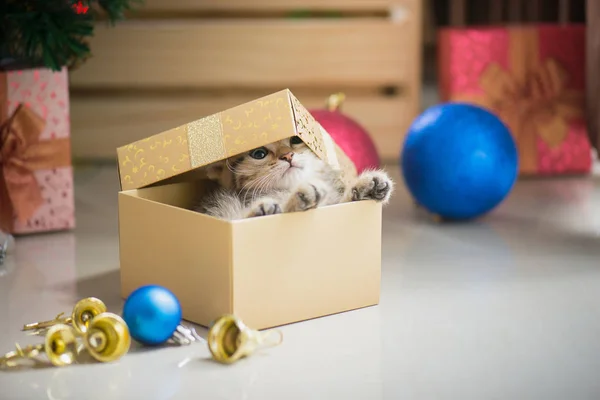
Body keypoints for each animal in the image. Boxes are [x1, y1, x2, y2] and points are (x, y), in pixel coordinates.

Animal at [195, 137, 396, 219]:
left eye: (296, 139)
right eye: (258, 154)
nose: (288, 155)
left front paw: (365, 187)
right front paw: (301, 197)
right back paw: (262, 211)